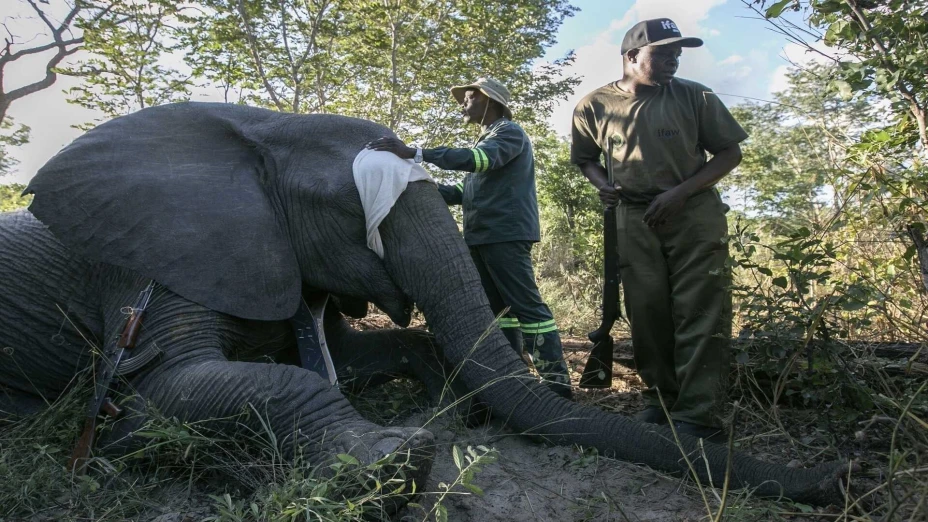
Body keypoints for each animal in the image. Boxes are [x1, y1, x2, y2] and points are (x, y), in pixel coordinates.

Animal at [0, 102, 849, 510]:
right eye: (355, 211)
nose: (841, 479)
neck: (255, 135)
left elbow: (354, 354)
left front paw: (451, 406)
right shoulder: (151, 260)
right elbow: (163, 396)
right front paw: (395, 463)